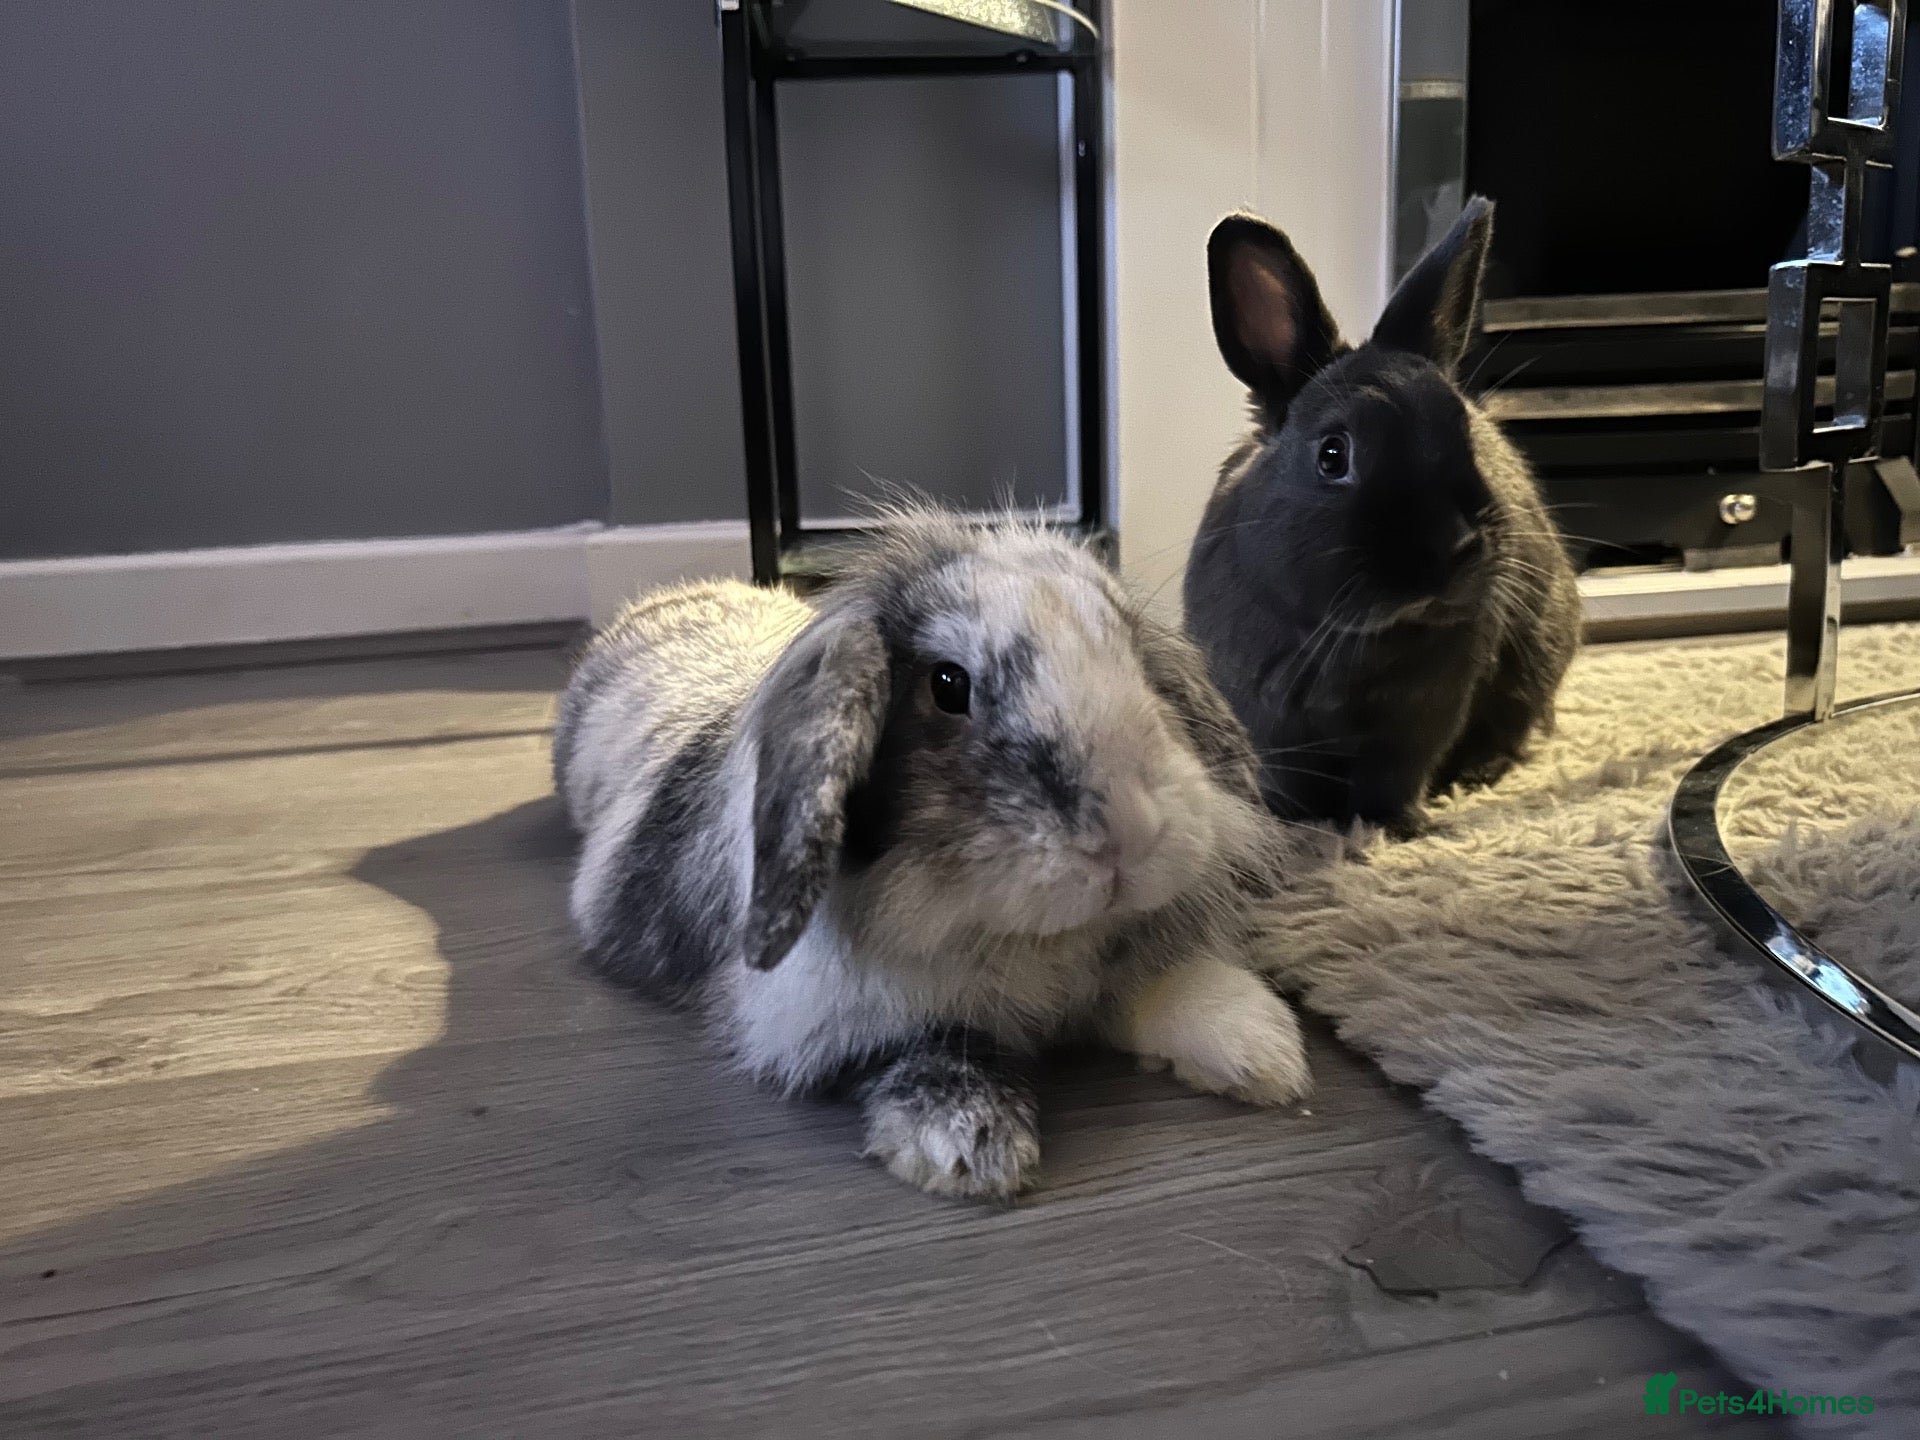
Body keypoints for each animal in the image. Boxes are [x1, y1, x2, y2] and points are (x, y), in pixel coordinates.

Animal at [552, 508, 1310, 1202]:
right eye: (948, 686)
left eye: (1137, 658)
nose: (1132, 831)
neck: (1025, 940)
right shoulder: (825, 1016)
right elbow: (928, 1045)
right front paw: (970, 1149)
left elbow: (1144, 986)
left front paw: (1261, 1047)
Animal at [1182, 197, 1580, 833]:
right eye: (1333, 455)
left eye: (1467, 433)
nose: (1452, 545)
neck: (1349, 644)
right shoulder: (1270, 725)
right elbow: (1290, 782)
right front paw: (1294, 827)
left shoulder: (1420, 721)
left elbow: (1393, 777)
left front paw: (1393, 828)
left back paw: (1473, 776)